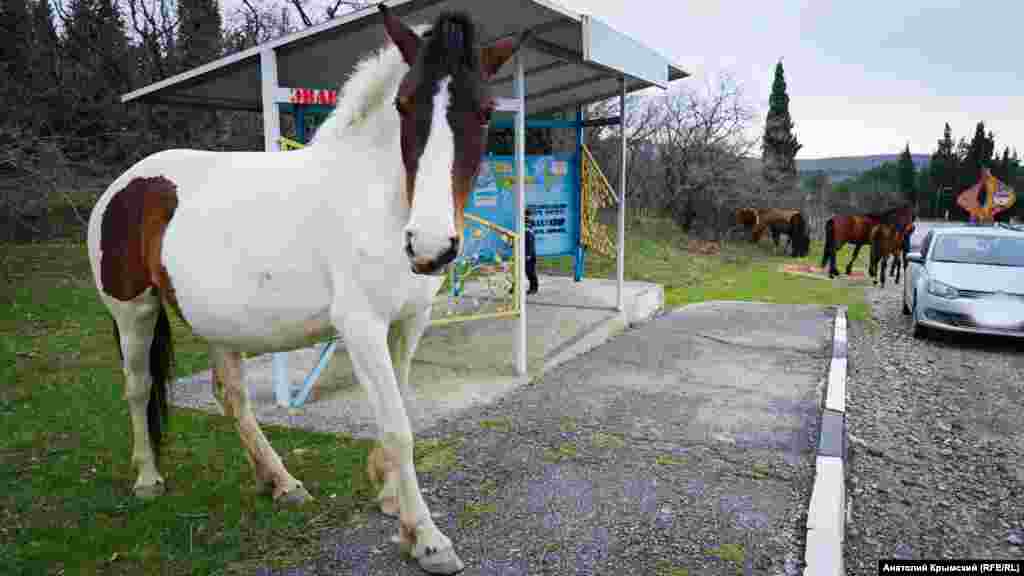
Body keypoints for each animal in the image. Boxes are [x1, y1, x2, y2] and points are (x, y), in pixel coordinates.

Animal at [84, 5, 524, 569]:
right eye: (404, 105)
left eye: (487, 111)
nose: (429, 246)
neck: (379, 201)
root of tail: (124, 185)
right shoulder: (361, 327)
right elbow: (397, 426)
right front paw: (427, 537)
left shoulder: (411, 320)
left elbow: (400, 408)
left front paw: (389, 497)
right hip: (133, 312)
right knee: (139, 389)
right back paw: (147, 478)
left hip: (218, 323)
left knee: (233, 398)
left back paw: (282, 482)